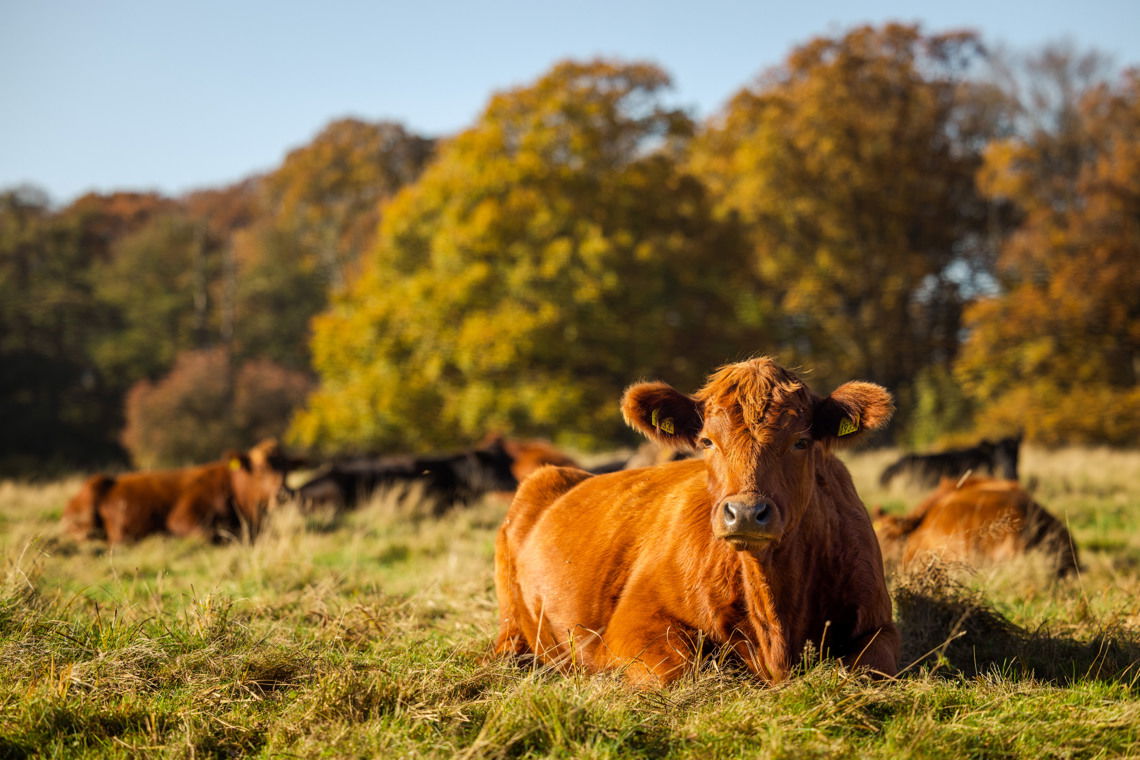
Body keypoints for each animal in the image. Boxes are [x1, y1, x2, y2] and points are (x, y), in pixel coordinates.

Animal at [490, 360, 898, 688]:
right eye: (707, 441)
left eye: (800, 441)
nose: (745, 512)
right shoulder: (633, 622)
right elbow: (678, 671)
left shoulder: (878, 625)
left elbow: (867, 669)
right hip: (511, 619)